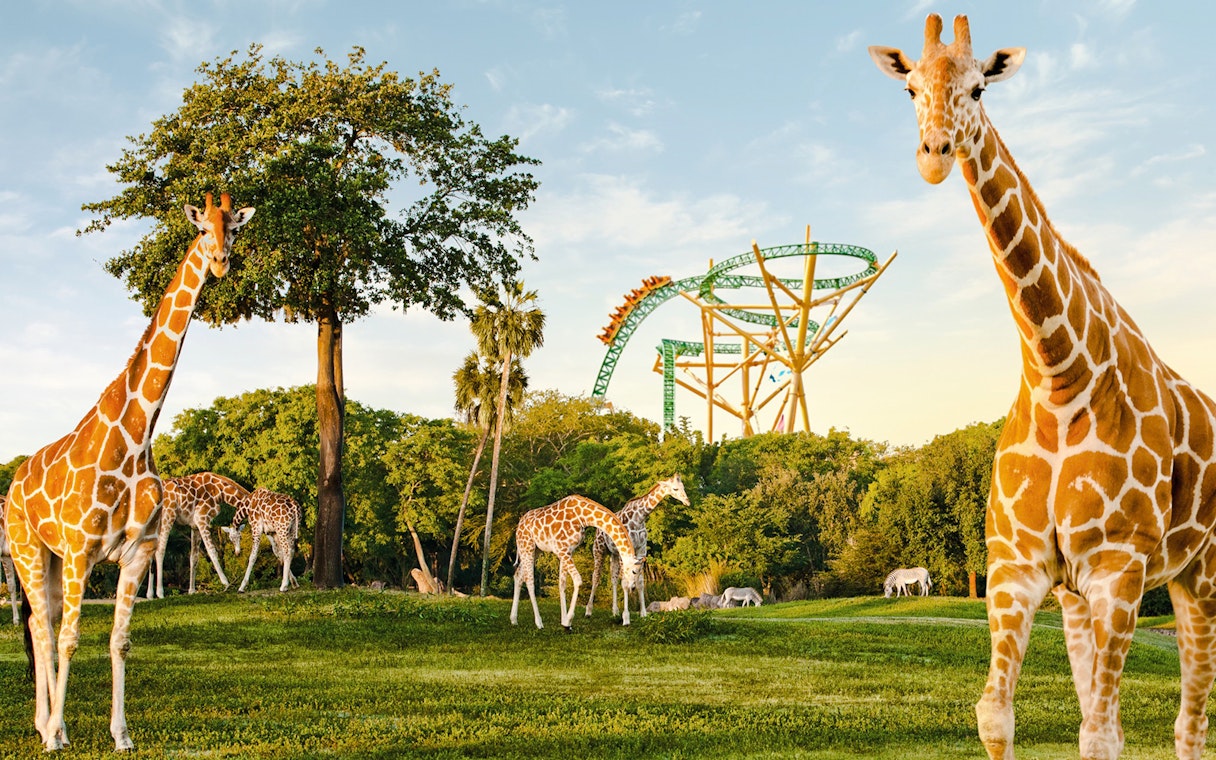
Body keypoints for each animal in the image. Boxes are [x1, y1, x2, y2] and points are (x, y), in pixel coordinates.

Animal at [3, 192, 253, 751]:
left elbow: (120, 641)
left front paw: (121, 734)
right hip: (29, 549)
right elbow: (71, 639)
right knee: (43, 629)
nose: (220, 261)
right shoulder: (81, 550)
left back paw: (49, 723)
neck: (136, 439)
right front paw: (58, 735)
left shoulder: (135, 552)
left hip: (52, 560)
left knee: (42, 622)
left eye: (234, 228)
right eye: (202, 227)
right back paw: (49, 729)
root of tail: (14, 483)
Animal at [511, 494, 641, 630]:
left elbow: (562, 584)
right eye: (634, 571)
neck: (583, 516)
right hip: (527, 546)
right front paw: (568, 622)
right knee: (529, 580)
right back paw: (539, 623)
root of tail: (519, 525)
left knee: (518, 575)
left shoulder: (568, 551)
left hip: (536, 549)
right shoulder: (562, 550)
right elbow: (578, 580)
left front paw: (563, 620)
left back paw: (514, 620)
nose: (632, 587)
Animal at [584, 474, 689, 620]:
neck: (639, 518)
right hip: (599, 549)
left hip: (614, 553)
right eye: (675, 488)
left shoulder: (641, 549)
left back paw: (615, 611)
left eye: (683, 486)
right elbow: (626, 581)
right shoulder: (626, 551)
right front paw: (626, 615)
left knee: (613, 578)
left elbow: (639, 581)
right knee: (596, 577)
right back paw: (588, 611)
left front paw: (643, 613)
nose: (687, 501)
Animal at [871, 15, 1216, 759]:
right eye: (910, 87)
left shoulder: (1120, 568)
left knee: (1190, 723)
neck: (1060, 377)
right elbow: (996, 714)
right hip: (1092, 593)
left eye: (980, 87)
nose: (934, 154)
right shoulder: (1020, 570)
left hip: (1200, 570)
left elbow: (1101, 731)